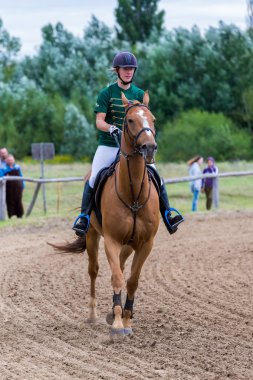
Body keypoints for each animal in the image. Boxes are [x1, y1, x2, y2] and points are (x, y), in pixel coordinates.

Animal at [51, 92, 160, 336]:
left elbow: (132, 280)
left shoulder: (146, 244)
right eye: (130, 120)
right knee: (94, 270)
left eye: (153, 119)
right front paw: (119, 325)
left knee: (121, 264)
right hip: (93, 235)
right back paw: (93, 315)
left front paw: (126, 319)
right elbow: (116, 278)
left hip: (129, 244)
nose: (149, 148)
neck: (133, 195)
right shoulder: (111, 240)